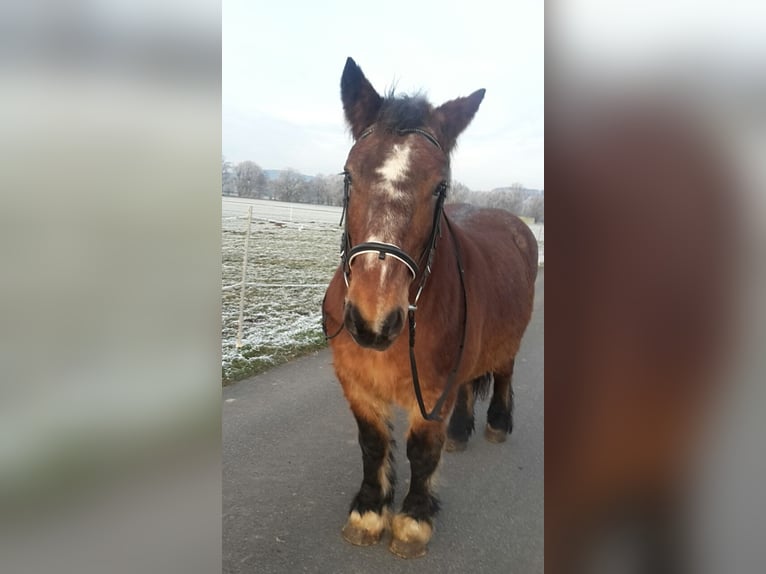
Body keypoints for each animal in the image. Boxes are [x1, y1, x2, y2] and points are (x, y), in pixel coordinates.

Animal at [324, 58, 540, 560]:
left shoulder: (432, 394)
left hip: (508, 342)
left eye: (440, 185)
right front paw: (369, 510)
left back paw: (496, 422)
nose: (373, 320)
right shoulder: (355, 385)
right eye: (348, 176)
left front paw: (413, 520)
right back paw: (461, 431)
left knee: (503, 373)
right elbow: (372, 443)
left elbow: (422, 452)